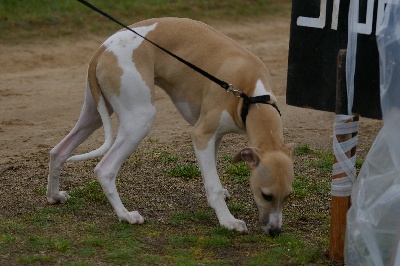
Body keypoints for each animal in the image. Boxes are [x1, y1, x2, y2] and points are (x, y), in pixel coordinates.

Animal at [47, 17, 296, 236]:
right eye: (266, 195)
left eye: (287, 196)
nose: (275, 232)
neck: (251, 96)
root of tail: (103, 49)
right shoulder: (201, 133)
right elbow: (213, 185)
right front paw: (228, 221)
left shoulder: (214, 137)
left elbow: (211, 175)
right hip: (140, 118)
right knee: (104, 169)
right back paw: (125, 215)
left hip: (94, 114)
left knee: (58, 151)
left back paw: (54, 196)